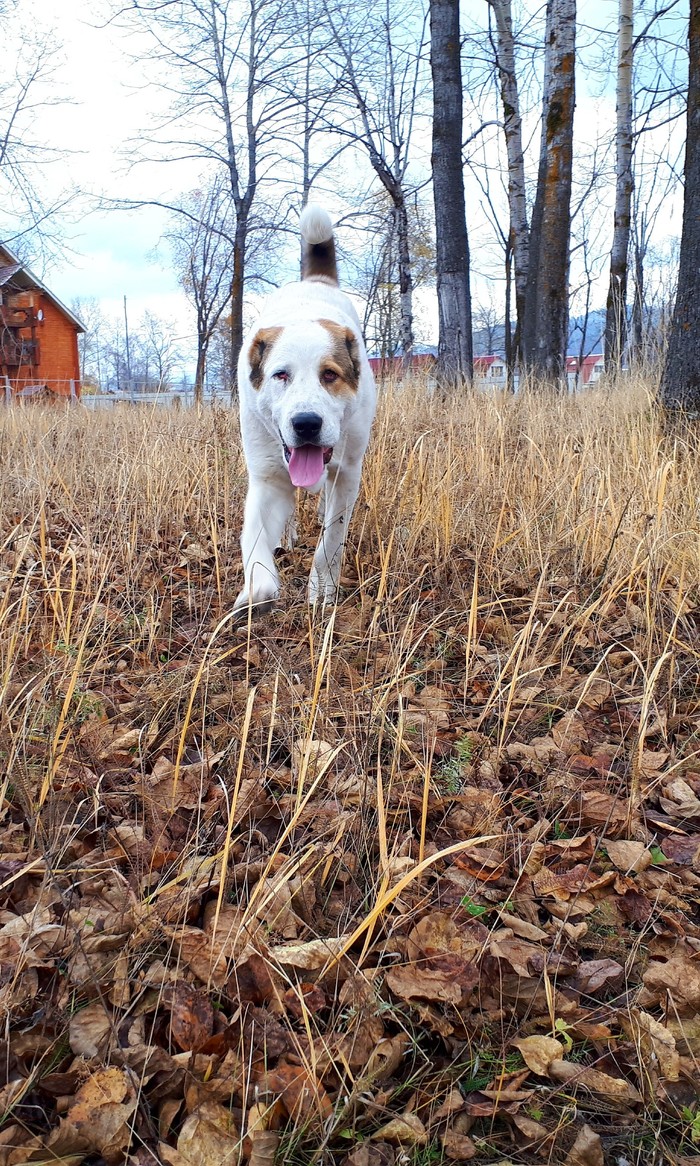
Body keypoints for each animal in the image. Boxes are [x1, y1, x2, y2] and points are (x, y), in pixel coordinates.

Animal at [233, 205, 378, 615]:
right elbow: (254, 542)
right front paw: (257, 590)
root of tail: (314, 281)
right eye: (280, 374)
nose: (306, 423)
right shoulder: (267, 478)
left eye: (330, 374)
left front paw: (323, 588)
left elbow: (331, 539)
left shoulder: (348, 475)